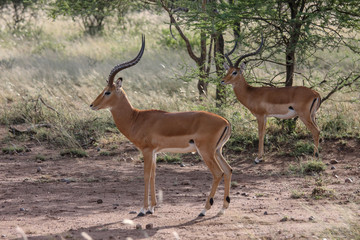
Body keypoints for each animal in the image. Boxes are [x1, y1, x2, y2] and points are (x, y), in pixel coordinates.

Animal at [90, 35, 233, 218]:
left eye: (107, 91)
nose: (92, 105)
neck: (136, 118)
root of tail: (225, 121)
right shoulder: (155, 152)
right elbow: (153, 175)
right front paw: (152, 207)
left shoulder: (146, 150)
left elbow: (146, 176)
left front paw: (143, 209)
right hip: (217, 151)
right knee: (228, 170)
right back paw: (222, 208)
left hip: (206, 151)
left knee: (218, 173)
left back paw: (203, 210)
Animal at [222, 36, 320, 164]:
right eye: (227, 71)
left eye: (235, 72)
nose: (222, 81)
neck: (251, 93)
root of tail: (316, 94)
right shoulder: (265, 117)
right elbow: (264, 133)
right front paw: (261, 156)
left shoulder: (260, 116)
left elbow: (260, 134)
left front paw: (258, 158)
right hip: (312, 116)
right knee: (318, 130)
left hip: (304, 116)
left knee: (315, 131)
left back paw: (314, 157)